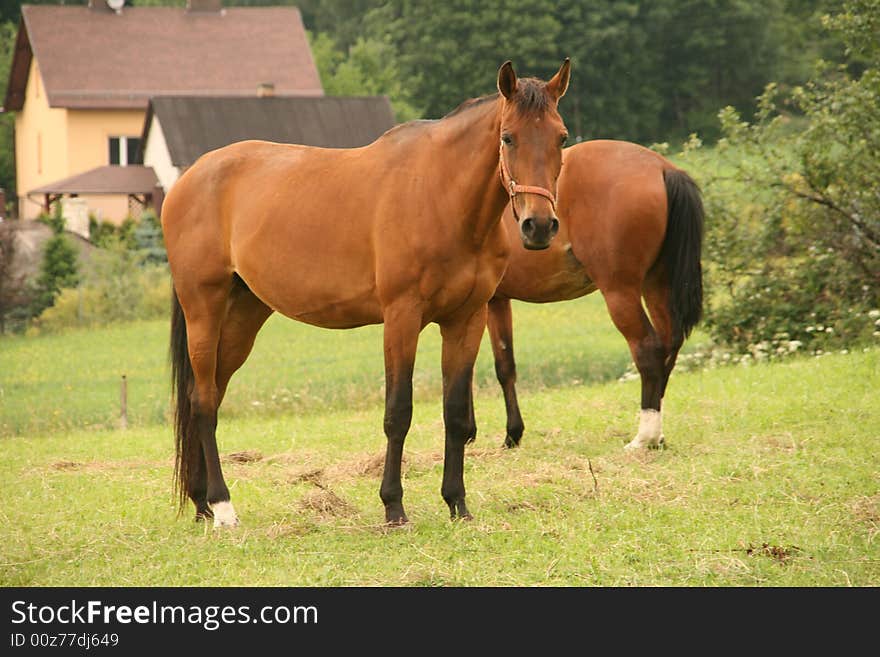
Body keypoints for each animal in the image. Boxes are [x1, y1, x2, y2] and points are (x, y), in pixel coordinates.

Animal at [488, 139, 700, 452]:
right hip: (656, 283)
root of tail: (661, 168)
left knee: (648, 348)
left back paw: (643, 438)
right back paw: (657, 435)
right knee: (668, 344)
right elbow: (505, 365)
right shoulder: (497, 300)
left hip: (620, 292)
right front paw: (513, 435)